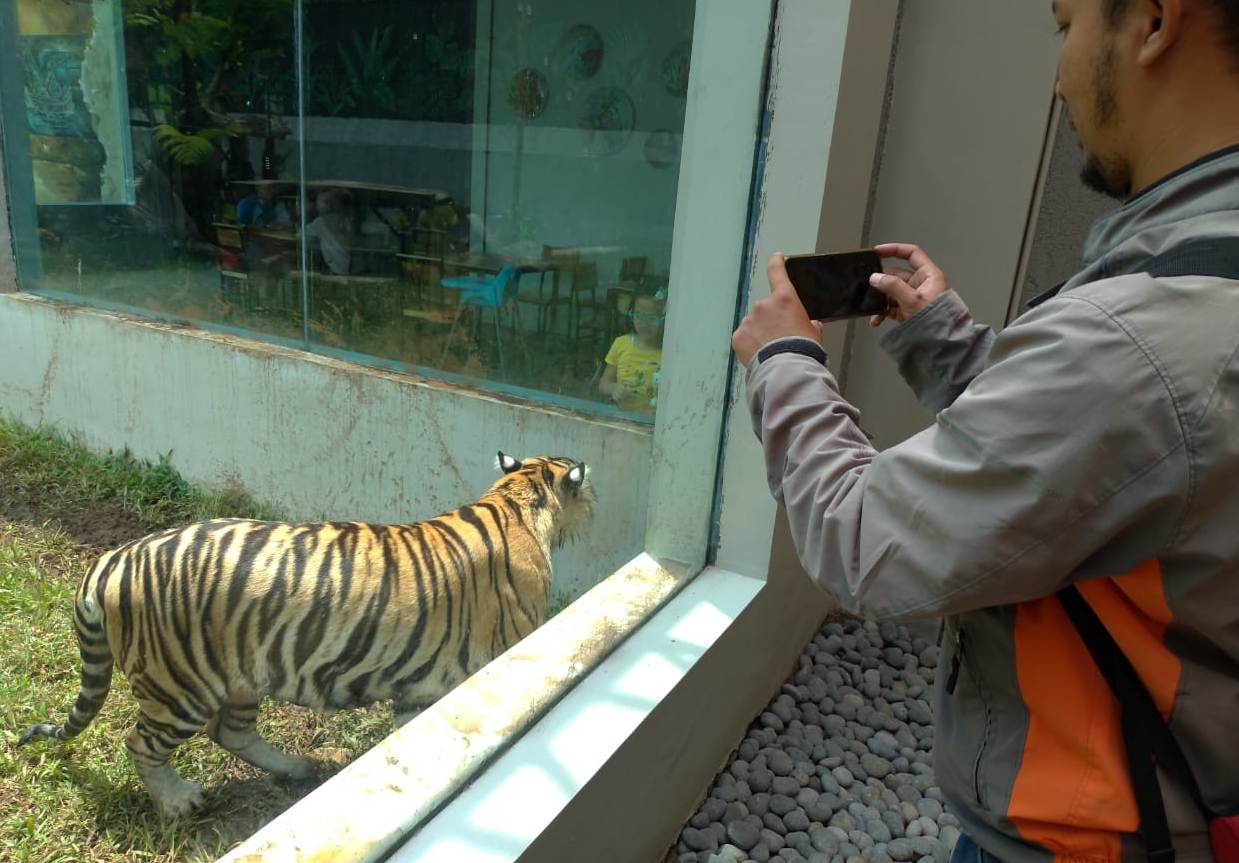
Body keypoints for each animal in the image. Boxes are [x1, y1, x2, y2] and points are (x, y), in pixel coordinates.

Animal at [15, 450, 594, 812]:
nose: (594, 508)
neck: (515, 495)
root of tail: (112, 559)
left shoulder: (421, 684)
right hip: (178, 685)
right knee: (142, 744)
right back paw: (180, 800)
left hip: (238, 673)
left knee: (232, 732)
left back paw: (297, 769)